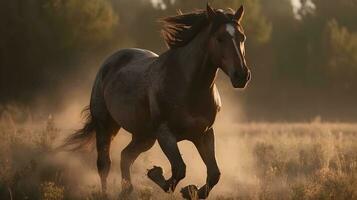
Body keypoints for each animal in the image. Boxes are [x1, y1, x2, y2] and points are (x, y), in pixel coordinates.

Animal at [61, 3, 250, 199]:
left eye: (242, 37)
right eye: (220, 38)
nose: (242, 76)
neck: (189, 86)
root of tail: (109, 62)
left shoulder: (204, 133)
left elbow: (214, 174)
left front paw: (190, 190)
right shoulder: (165, 133)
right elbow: (179, 169)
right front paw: (158, 175)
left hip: (144, 136)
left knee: (125, 156)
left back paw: (126, 190)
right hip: (106, 126)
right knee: (104, 164)